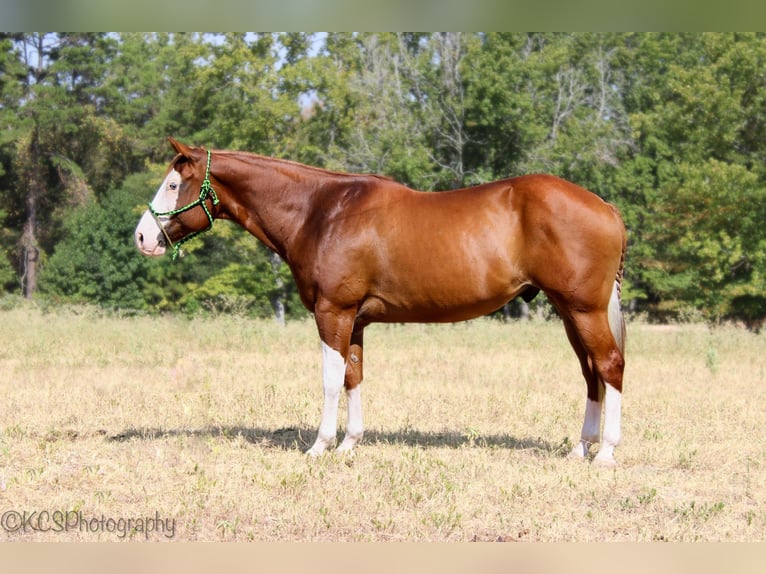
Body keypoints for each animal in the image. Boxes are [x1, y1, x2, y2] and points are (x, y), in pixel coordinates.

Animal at [136, 140, 632, 468]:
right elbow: (353, 376)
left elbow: (331, 379)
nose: (142, 237)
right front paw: (350, 442)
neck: (321, 211)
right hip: (569, 312)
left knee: (609, 365)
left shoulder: (332, 312)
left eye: (174, 183)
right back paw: (580, 447)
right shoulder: (354, 319)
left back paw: (606, 451)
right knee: (591, 373)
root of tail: (606, 207)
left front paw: (320, 445)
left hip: (584, 310)